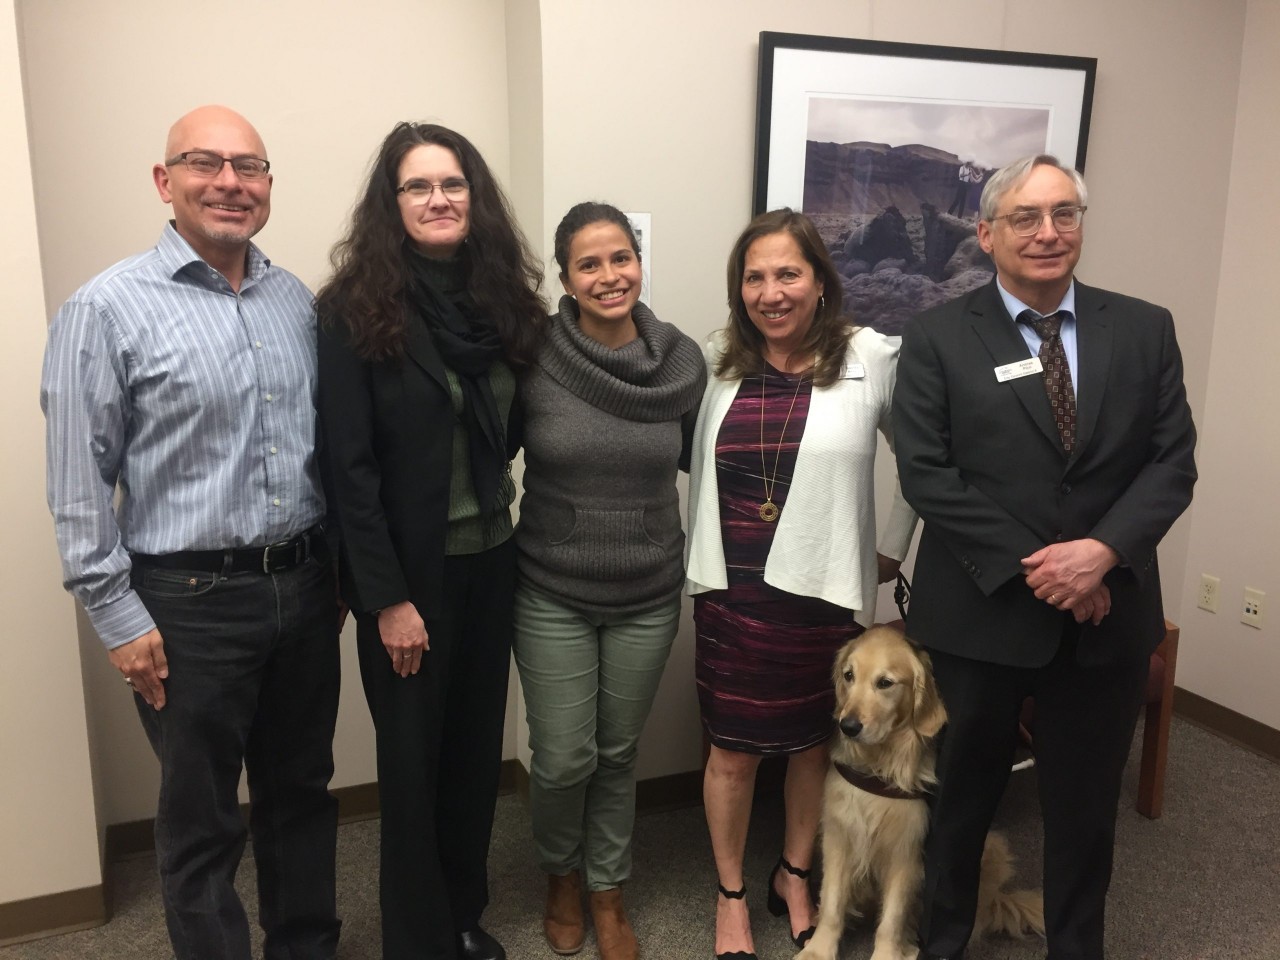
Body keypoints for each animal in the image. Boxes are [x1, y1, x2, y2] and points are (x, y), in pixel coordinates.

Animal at [793, 627, 1044, 960]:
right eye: (849, 675)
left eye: (885, 683)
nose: (848, 726)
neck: (878, 766)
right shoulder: (839, 834)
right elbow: (833, 901)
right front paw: (819, 950)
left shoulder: (905, 850)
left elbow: (892, 918)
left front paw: (888, 954)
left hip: (991, 847)